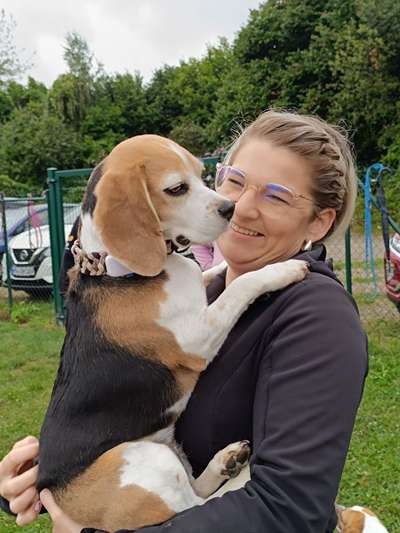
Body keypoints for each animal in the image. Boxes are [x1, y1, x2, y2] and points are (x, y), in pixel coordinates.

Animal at [36, 135, 306, 528]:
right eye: (176, 189)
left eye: (201, 173)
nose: (230, 208)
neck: (115, 269)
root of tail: (53, 488)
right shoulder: (197, 338)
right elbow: (241, 286)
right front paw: (280, 269)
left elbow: (213, 274)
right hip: (147, 461)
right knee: (196, 507)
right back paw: (238, 472)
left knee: (197, 493)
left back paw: (227, 462)